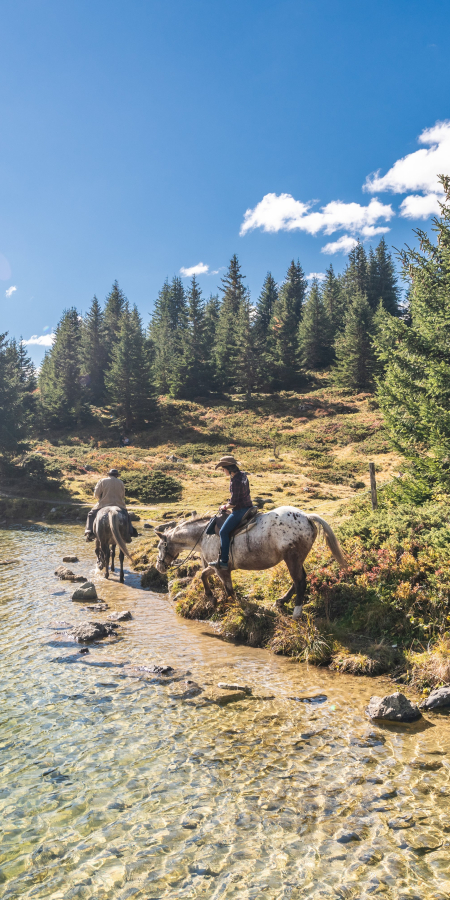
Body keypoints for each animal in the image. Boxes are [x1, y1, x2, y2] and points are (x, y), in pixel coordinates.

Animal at [153, 506, 346, 620]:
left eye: (160, 546)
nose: (159, 567)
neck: (204, 535)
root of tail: (306, 517)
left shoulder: (222, 569)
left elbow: (229, 590)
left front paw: (238, 609)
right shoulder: (216, 566)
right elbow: (203, 575)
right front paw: (211, 598)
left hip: (292, 557)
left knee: (299, 582)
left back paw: (296, 613)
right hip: (296, 559)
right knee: (298, 580)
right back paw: (281, 601)